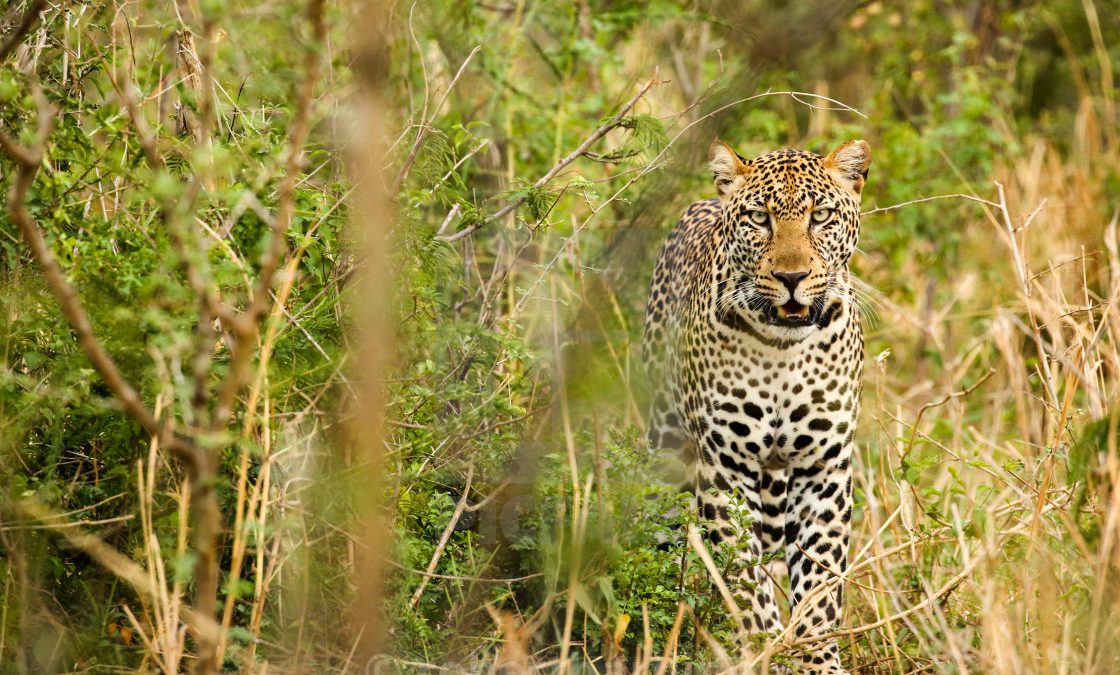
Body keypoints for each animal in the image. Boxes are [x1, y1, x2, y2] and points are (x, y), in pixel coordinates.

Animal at [645, 139, 869, 671]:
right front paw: (763, 646)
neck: (782, 351)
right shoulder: (725, 467)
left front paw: (814, 658)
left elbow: (820, 579)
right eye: (759, 218)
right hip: (665, 449)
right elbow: (741, 577)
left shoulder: (823, 467)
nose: (792, 277)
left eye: (820, 216)